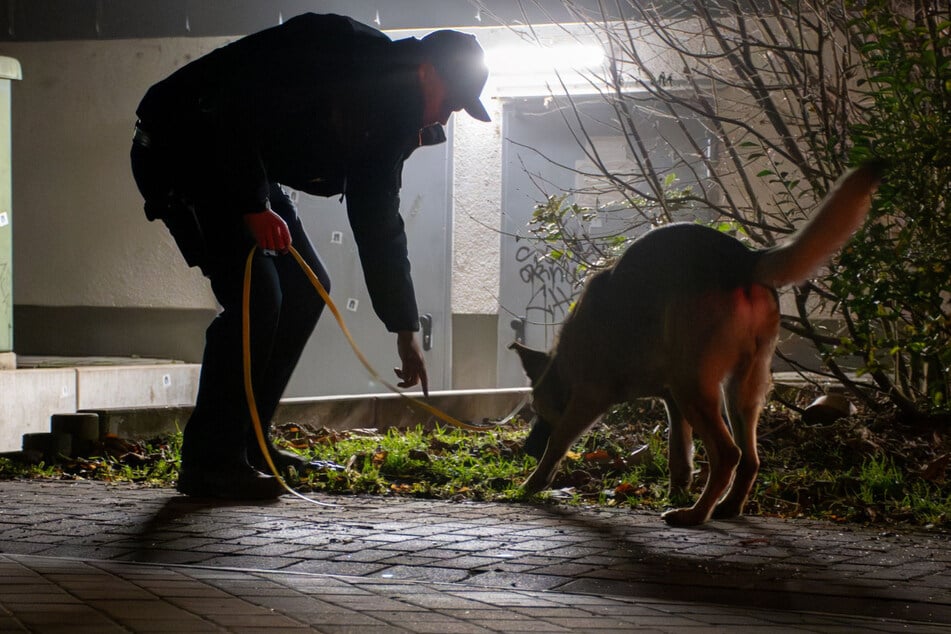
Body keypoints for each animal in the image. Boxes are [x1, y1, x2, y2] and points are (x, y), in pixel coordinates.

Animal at [512, 163, 884, 524]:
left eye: (537, 410)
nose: (525, 449)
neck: (564, 361)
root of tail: (744, 259)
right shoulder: (672, 402)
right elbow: (679, 454)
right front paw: (677, 489)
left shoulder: (590, 398)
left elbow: (558, 442)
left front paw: (532, 483)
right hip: (739, 391)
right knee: (749, 459)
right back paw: (727, 506)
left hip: (694, 386)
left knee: (728, 454)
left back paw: (695, 514)